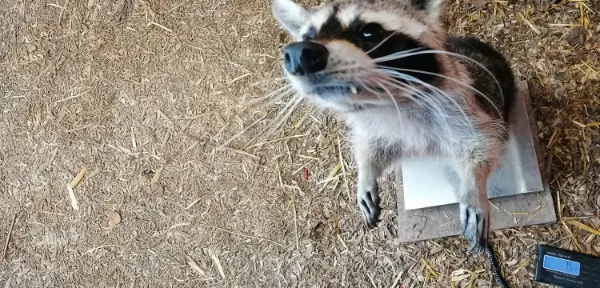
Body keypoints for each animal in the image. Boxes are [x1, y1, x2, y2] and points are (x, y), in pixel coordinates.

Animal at [272, 0, 516, 252]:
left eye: (369, 32)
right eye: (308, 36)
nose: (298, 54)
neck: (388, 103)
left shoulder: (466, 110)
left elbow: (482, 144)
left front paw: (474, 185)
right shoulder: (378, 129)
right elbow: (373, 148)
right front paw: (366, 172)